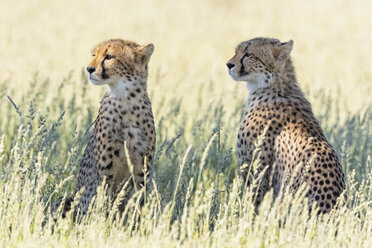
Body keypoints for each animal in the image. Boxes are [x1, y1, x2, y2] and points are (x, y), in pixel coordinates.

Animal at [71, 38, 155, 217]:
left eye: (109, 57)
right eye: (94, 55)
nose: (89, 69)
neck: (126, 100)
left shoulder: (141, 172)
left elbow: (136, 204)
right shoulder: (106, 172)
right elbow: (104, 204)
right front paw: (102, 221)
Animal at [227, 37, 346, 213]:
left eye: (249, 54)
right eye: (237, 51)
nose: (229, 64)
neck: (274, 87)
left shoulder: (256, 171)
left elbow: (253, 205)